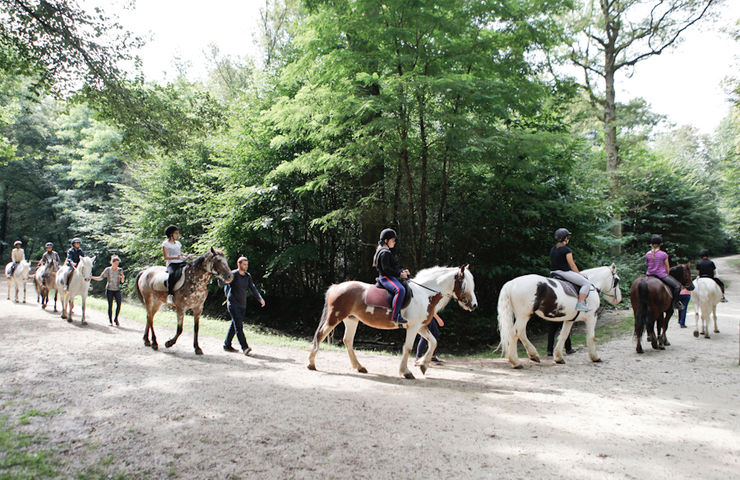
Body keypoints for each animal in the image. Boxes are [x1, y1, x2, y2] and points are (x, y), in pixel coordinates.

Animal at [308, 264, 476, 376]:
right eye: (465, 284)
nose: (474, 305)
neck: (424, 294)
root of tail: (336, 287)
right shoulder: (413, 327)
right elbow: (408, 347)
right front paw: (406, 371)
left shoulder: (421, 327)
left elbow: (433, 342)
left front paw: (423, 365)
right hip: (334, 317)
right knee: (320, 335)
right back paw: (311, 363)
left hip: (351, 320)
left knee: (347, 341)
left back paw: (359, 367)